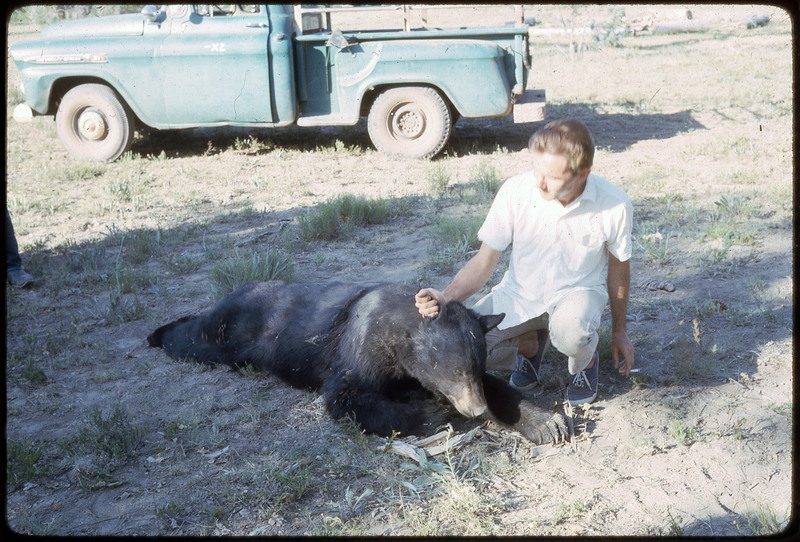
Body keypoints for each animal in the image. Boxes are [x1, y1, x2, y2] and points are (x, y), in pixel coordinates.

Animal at [147, 282, 564, 444]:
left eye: (475, 367)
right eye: (456, 370)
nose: (475, 409)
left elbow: (500, 388)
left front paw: (546, 421)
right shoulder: (360, 350)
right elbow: (345, 396)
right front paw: (431, 411)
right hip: (230, 331)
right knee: (195, 335)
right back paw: (157, 333)